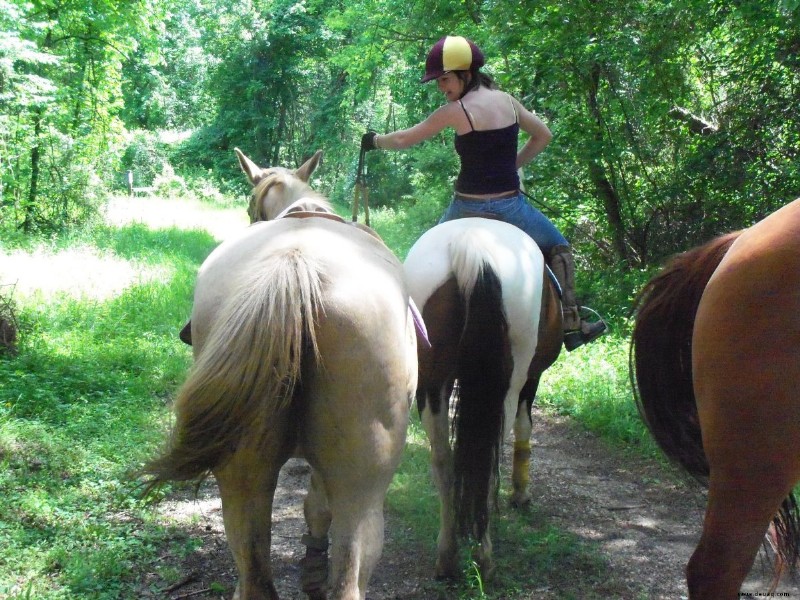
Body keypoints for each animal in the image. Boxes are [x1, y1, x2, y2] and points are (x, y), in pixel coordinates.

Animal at [145, 150, 418, 600]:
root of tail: (294, 263)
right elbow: (317, 505)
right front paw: (312, 569)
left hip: (241, 471)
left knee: (253, 569)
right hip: (362, 490)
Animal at [400, 218, 564, 580]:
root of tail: (472, 247)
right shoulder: (531, 379)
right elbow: (525, 427)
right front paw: (521, 493)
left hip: (431, 382)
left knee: (443, 459)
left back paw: (447, 556)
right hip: (507, 383)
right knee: (489, 460)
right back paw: (484, 557)